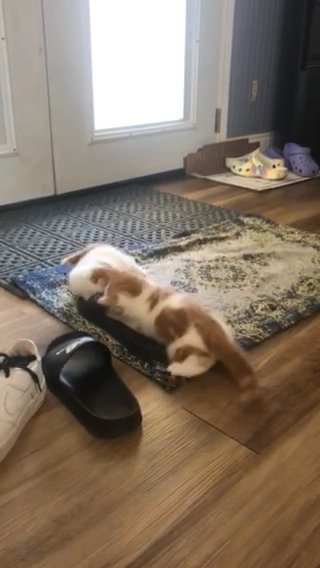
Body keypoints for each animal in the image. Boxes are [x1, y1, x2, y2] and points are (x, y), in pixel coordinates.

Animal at [90, 266, 255, 390]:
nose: (102, 298)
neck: (144, 295)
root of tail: (209, 326)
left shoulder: (134, 321)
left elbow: (124, 320)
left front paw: (107, 309)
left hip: (177, 346)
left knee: (199, 363)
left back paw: (174, 369)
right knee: (207, 360)